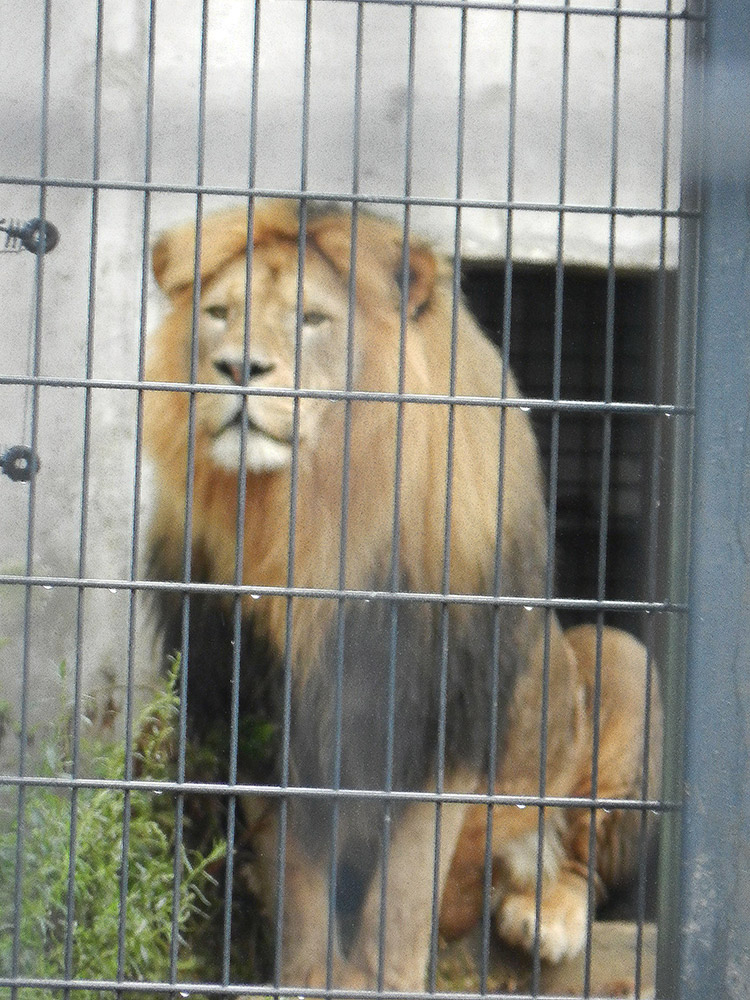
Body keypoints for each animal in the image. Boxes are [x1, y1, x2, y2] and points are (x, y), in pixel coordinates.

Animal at [143, 200, 662, 991]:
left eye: (310, 319)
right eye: (218, 314)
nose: (236, 368)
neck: (307, 522)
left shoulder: (439, 716)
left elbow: (404, 896)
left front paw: (383, 981)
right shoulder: (262, 714)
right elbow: (301, 882)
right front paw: (308, 978)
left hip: (621, 658)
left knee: (580, 868)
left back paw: (543, 913)